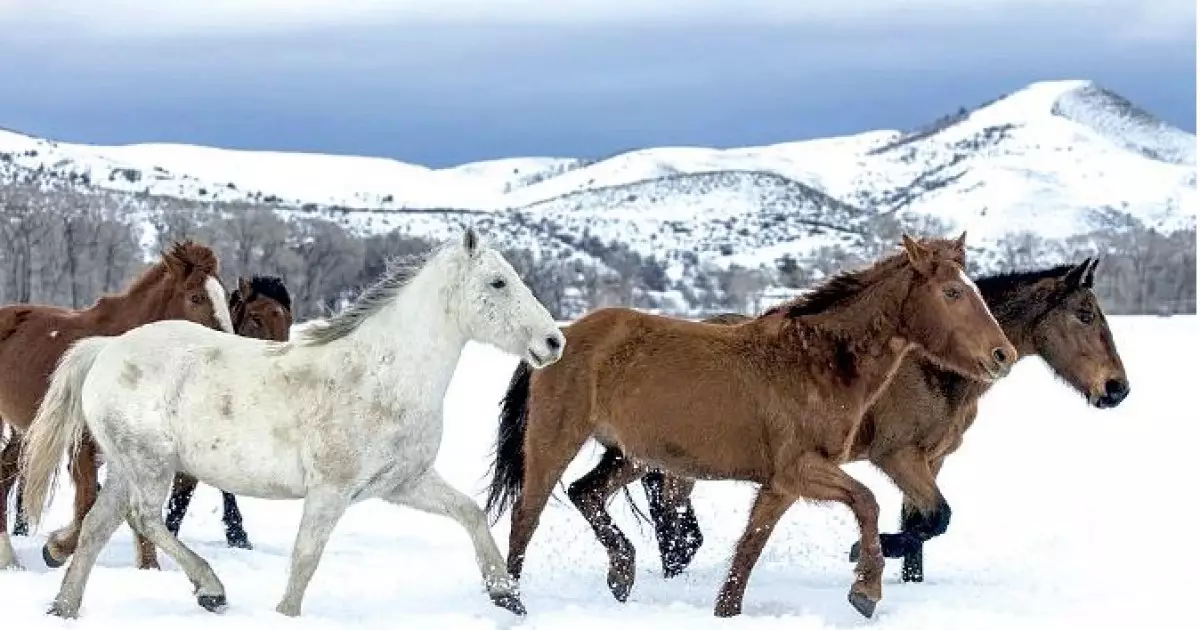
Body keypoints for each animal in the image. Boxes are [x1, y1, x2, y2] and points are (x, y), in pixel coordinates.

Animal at [0, 241, 234, 568]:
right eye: (196, 297)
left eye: (224, 295)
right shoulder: (83, 448)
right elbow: (88, 505)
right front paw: (55, 550)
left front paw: (149, 568)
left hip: (24, 431)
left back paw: (9, 558)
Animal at [482, 232, 1017, 614]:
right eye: (952, 292)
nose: (1003, 355)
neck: (816, 362)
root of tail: (560, 336)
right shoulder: (800, 469)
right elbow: (866, 501)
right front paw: (865, 590)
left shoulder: (782, 484)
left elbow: (748, 552)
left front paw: (728, 610)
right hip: (555, 442)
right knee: (526, 518)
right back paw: (511, 599)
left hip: (633, 456)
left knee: (585, 493)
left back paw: (621, 574)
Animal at [633, 256, 1128, 585]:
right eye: (1085, 315)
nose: (1117, 388)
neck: (933, 365)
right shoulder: (897, 455)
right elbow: (937, 518)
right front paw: (864, 551)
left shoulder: (931, 459)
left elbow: (921, 523)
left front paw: (906, 578)